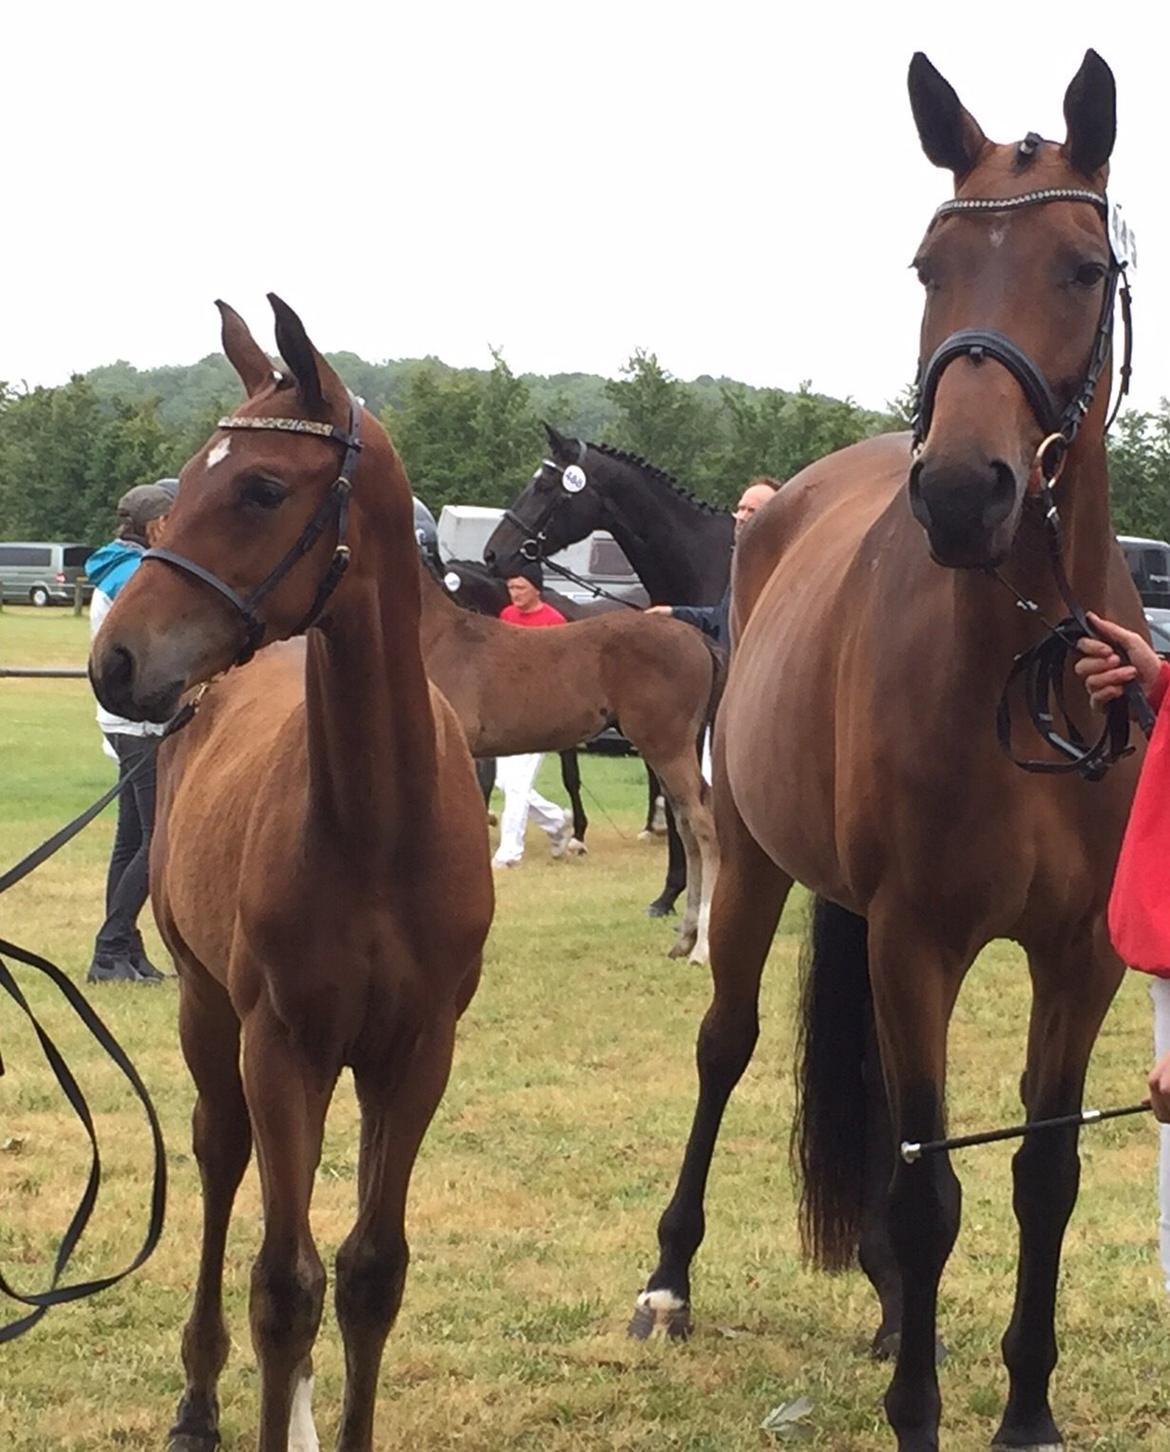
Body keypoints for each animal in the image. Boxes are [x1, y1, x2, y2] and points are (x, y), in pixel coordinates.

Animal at [90, 294, 493, 1452]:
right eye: (189, 474)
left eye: (263, 487)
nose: (114, 661)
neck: (378, 823)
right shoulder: (279, 1042)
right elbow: (283, 1283)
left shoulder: (418, 1050)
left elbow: (368, 1273)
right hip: (208, 1007)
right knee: (225, 1159)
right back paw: (196, 1399)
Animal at [418, 560, 720, 958]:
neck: (438, 638)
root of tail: (698, 638)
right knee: (686, 823)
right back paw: (684, 937)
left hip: (667, 748)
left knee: (701, 823)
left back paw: (701, 948)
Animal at [632, 51, 1143, 1446]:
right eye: (928, 265)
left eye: (1084, 266)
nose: (964, 491)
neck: (1023, 664)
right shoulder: (919, 942)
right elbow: (926, 1194)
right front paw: (921, 1409)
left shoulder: (1081, 960)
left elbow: (1043, 1172)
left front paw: (1028, 1409)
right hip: (757, 867)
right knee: (726, 1045)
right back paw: (669, 1281)